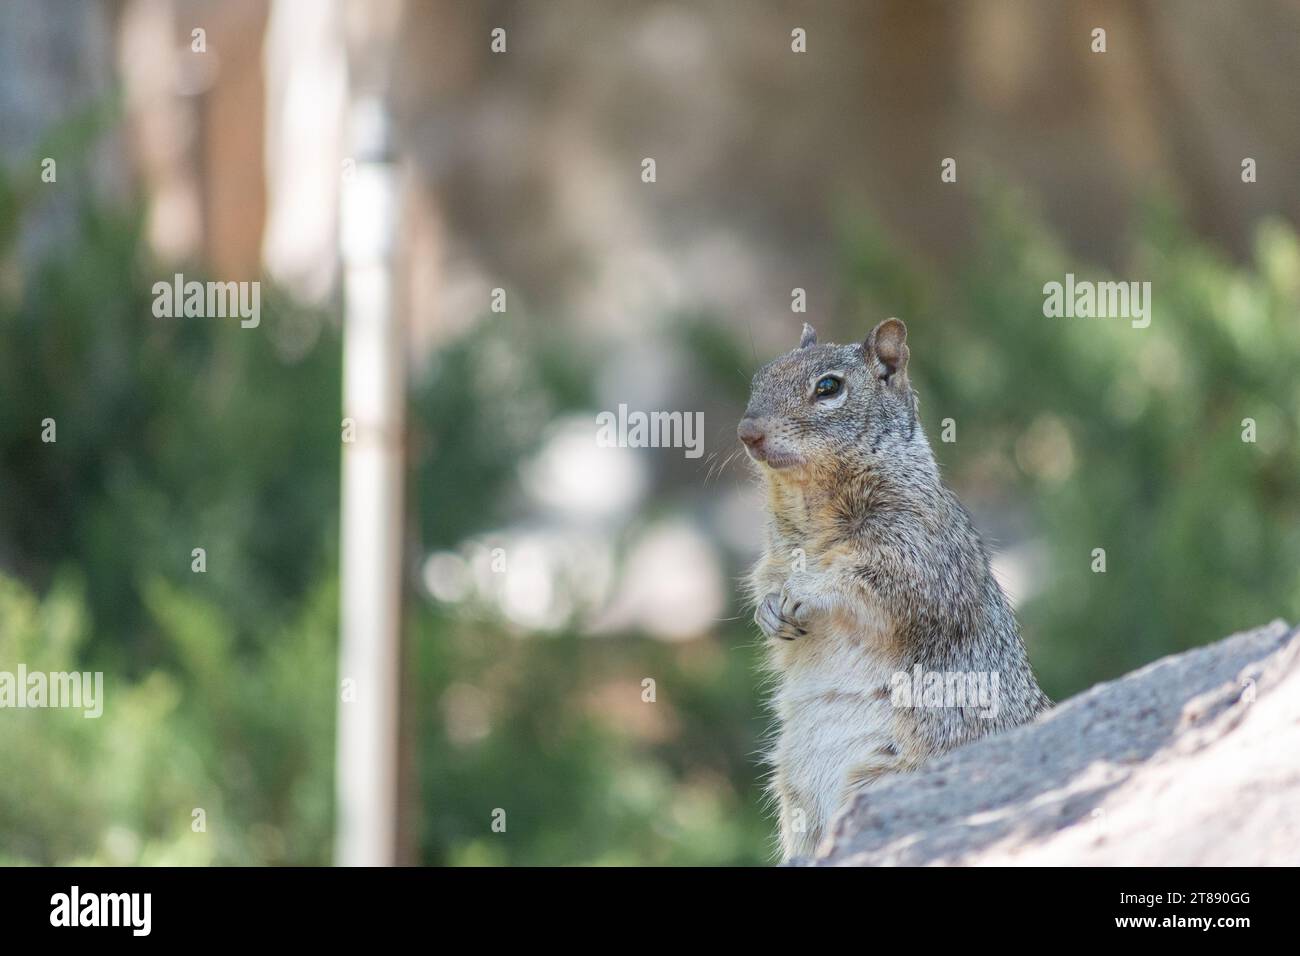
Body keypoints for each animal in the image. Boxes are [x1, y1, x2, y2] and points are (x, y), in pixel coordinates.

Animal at [738, 319, 1050, 858]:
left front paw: (807, 593)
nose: (747, 432)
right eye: (761, 376)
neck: (808, 507)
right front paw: (768, 611)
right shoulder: (775, 556)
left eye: (829, 387)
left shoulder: (916, 554)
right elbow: (765, 580)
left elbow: (870, 586)